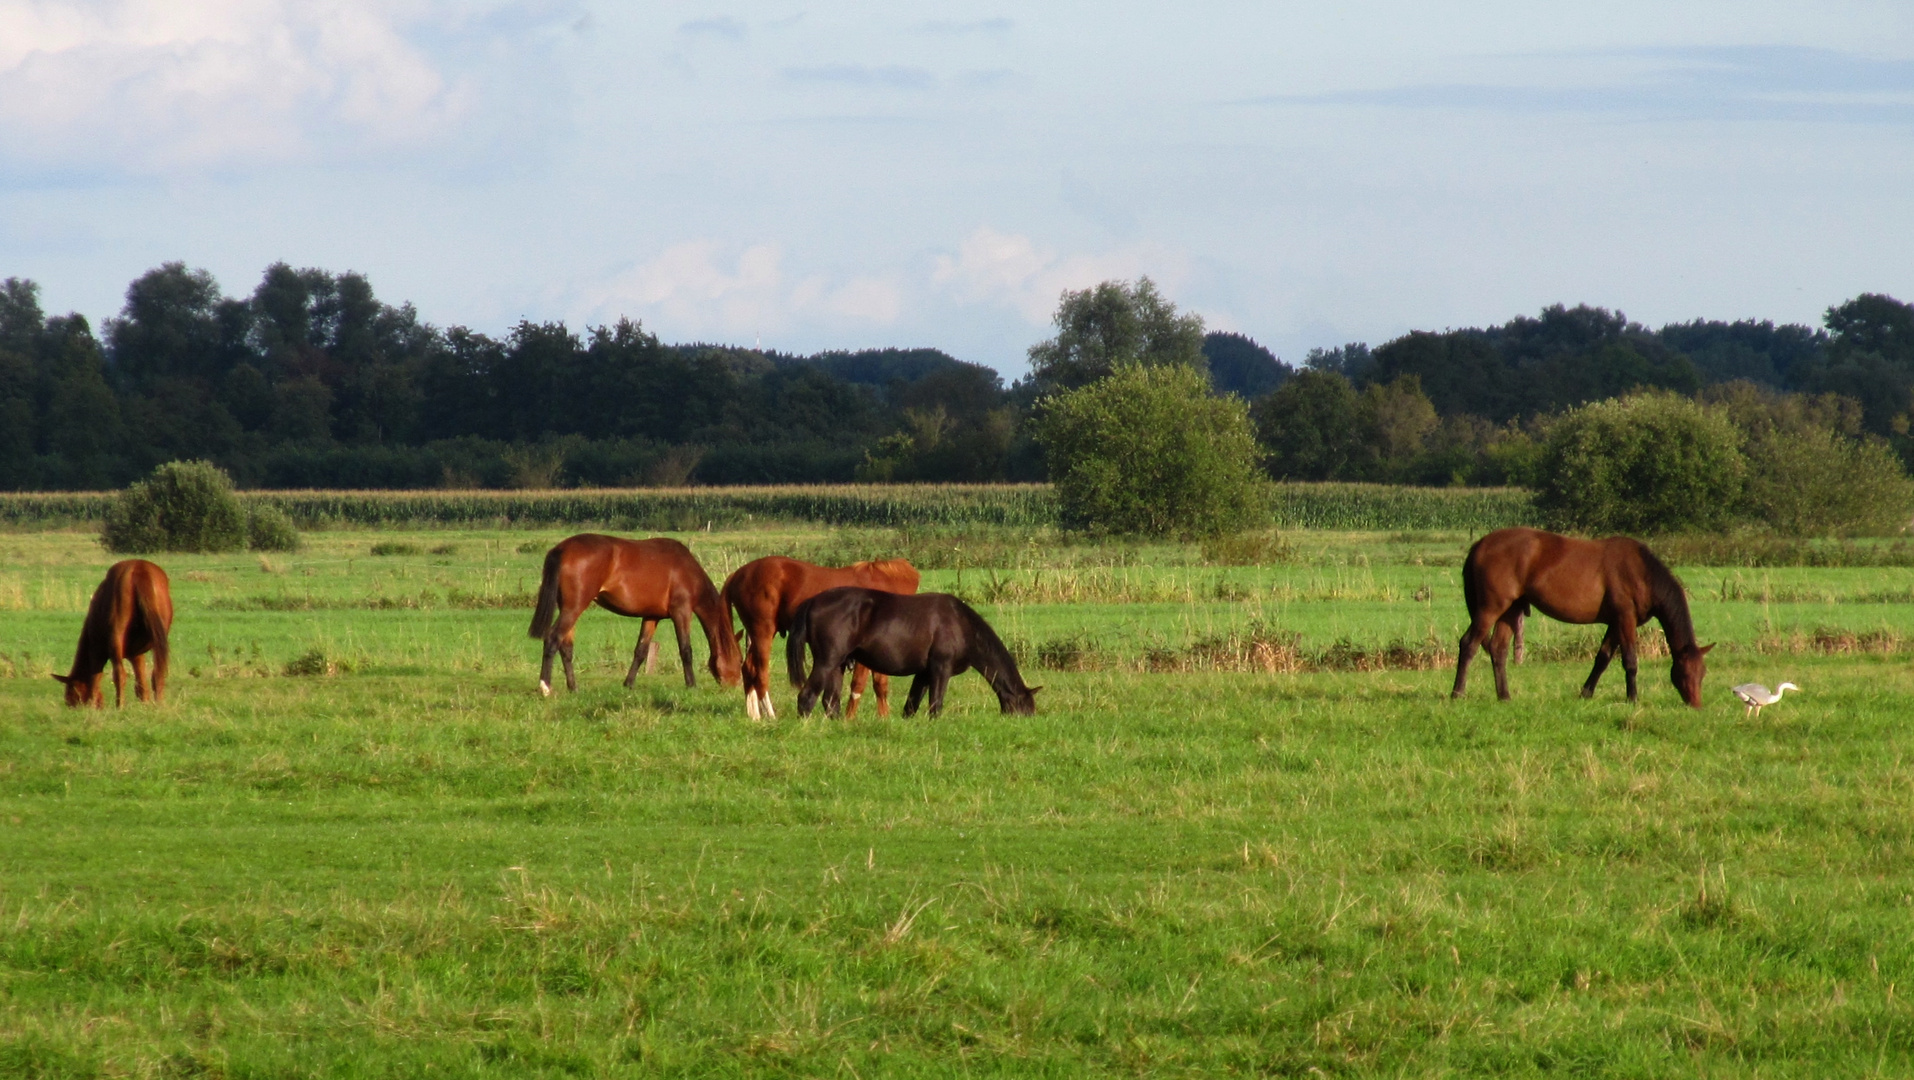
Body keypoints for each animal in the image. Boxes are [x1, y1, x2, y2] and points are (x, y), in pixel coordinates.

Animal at [55, 555, 174, 708]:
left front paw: (92, 703)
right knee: (158, 671)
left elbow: (95, 677)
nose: (73, 708)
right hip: (159, 637)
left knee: (119, 674)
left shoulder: (96, 648)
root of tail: (139, 569)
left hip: (116, 633)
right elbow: (141, 681)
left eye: (71, 696)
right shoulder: (136, 654)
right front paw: (145, 703)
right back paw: (159, 703)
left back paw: (120, 706)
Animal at [528, 532, 742, 700]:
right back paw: (545, 687)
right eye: (740, 660)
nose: (734, 686)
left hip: (568, 608)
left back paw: (574, 688)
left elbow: (641, 651)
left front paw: (628, 684)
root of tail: (562, 549)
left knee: (566, 647)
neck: (686, 570)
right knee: (552, 638)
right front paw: (691, 685)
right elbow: (686, 650)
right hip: (574, 608)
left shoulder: (651, 617)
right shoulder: (681, 612)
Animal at [719, 551, 922, 720]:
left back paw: (754, 715)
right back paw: (770, 714)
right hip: (763, 632)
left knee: (748, 668)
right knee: (760, 674)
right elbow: (859, 685)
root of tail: (738, 574)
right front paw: (850, 719)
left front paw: (883, 718)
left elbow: (880, 684)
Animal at [784, 589, 1041, 716]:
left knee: (830, 702)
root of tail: (813, 601)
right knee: (807, 697)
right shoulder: (940, 669)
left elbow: (911, 706)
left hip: (837, 665)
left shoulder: (923, 674)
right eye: (1025, 709)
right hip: (826, 662)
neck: (961, 624)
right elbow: (935, 705)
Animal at [1454, 524, 1714, 708]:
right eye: (1684, 672)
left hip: (1510, 610)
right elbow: (1630, 661)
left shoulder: (1614, 623)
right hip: (1490, 608)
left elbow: (1603, 658)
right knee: (1468, 644)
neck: (1642, 572)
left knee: (1498, 649)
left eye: (1702, 673)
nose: (1696, 705)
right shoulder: (1625, 619)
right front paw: (1632, 698)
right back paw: (1457, 692)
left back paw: (1504, 696)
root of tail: (1481, 543)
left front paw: (1586, 693)